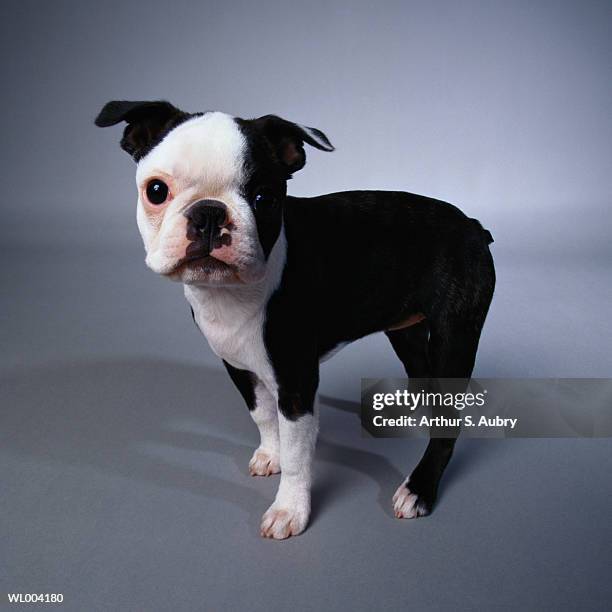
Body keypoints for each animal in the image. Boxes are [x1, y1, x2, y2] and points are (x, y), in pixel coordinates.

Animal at [97, 100, 498, 540]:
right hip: (406, 329)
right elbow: (262, 415)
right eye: (156, 191)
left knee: (447, 419)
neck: (229, 294)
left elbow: (298, 453)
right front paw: (270, 453)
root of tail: (473, 226)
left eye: (264, 198)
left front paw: (289, 509)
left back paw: (419, 488)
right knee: (421, 370)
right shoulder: (237, 365)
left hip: (454, 334)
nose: (209, 213)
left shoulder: (296, 381)